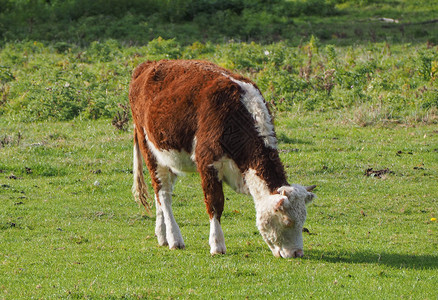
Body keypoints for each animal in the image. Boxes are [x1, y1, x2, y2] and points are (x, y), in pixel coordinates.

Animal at [128, 59, 316, 258]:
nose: (297, 253)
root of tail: (149, 64)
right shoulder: (207, 162)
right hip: (149, 148)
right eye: (287, 221)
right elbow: (215, 204)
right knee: (163, 193)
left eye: (303, 220)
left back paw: (162, 235)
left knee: (160, 194)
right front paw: (217, 245)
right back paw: (174, 239)